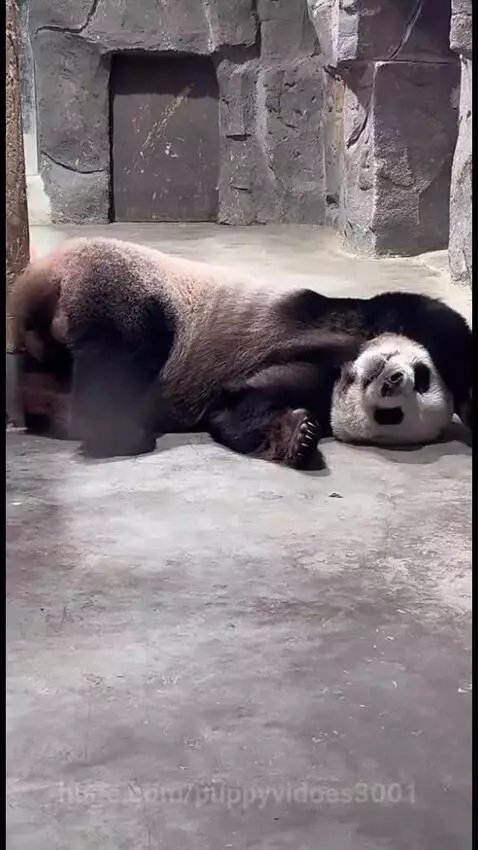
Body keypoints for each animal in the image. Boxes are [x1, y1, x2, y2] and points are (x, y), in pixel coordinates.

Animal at [9, 236, 472, 469]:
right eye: (422, 376)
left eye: (391, 415)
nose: (392, 379)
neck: (344, 366)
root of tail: (40, 280)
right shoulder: (339, 317)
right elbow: (423, 317)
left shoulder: (316, 384)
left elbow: (235, 407)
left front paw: (297, 436)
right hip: (121, 284)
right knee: (127, 347)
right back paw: (116, 429)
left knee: (57, 380)